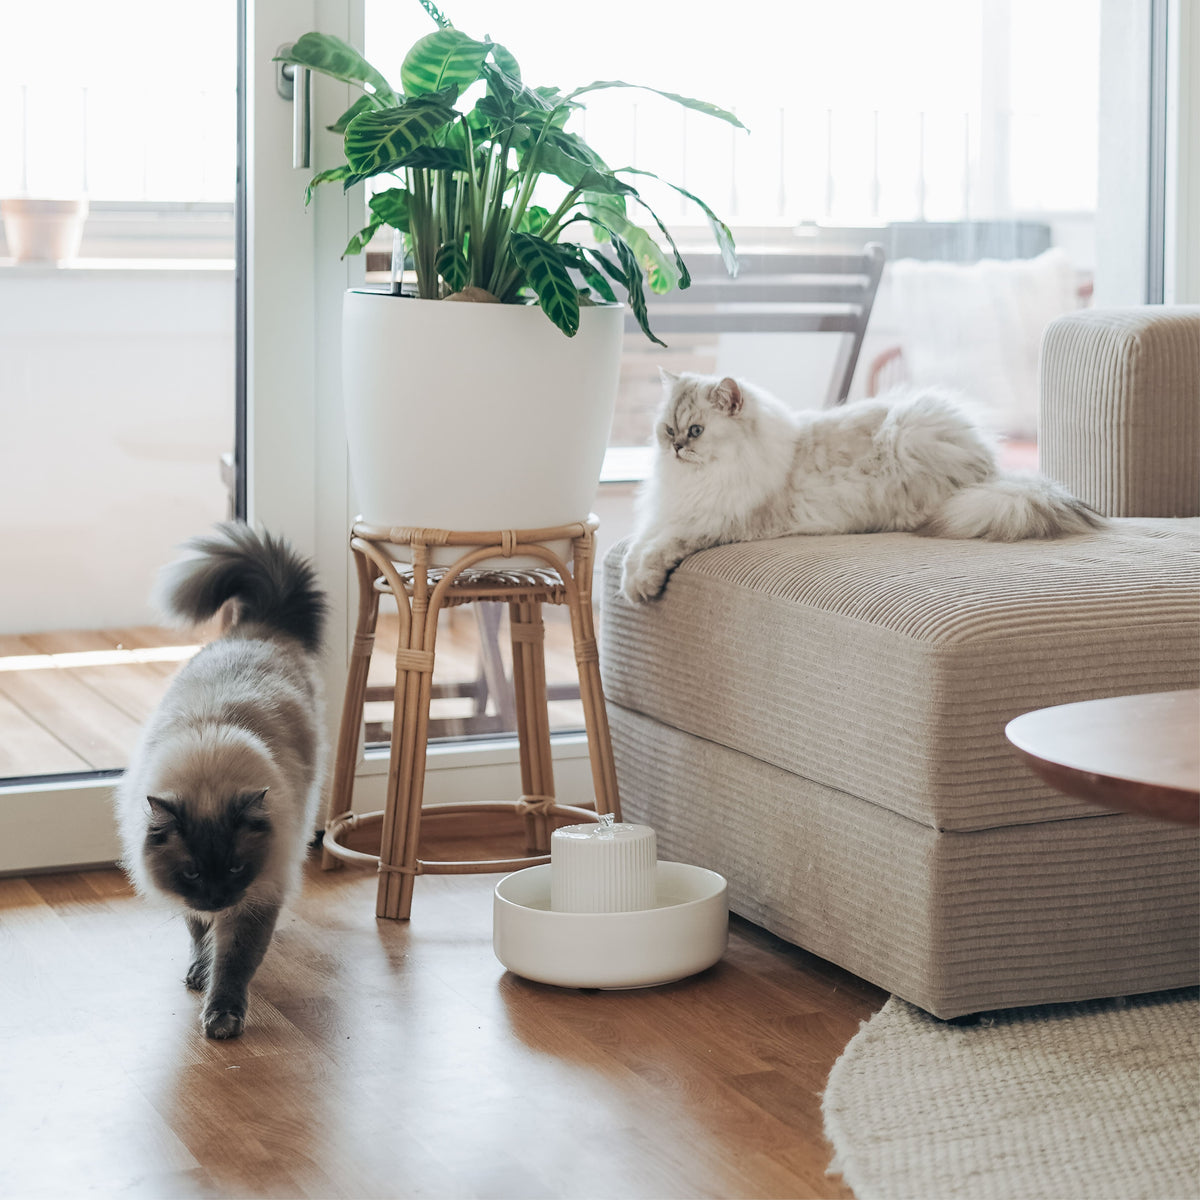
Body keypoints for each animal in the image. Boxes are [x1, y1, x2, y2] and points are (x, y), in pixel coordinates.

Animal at [114, 525, 326, 1041]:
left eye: (234, 868)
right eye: (192, 873)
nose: (216, 898)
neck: (207, 769)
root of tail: (260, 628)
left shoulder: (255, 899)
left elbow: (234, 964)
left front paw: (223, 1017)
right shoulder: (193, 901)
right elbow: (199, 936)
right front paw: (199, 971)